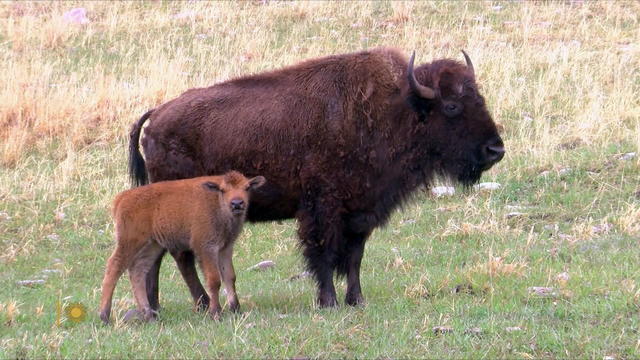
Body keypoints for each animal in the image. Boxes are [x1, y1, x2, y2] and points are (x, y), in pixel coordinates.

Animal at [99, 170, 264, 322]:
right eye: (223, 190)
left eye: (247, 187)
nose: (237, 203)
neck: (217, 202)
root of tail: (122, 198)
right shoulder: (206, 248)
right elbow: (214, 279)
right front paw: (216, 313)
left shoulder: (225, 248)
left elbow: (229, 277)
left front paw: (236, 310)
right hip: (130, 242)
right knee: (114, 267)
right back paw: (104, 316)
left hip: (152, 246)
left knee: (137, 272)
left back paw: (149, 315)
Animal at [126, 47, 504, 310]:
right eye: (452, 106)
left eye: (479, 98)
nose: (495, 149)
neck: (397, 108)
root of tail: (157, 115)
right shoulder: (323, 208)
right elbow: (324, 253)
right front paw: (329, 301)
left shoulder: (360, 211)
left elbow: (354, 257)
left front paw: (356, 300)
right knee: (180, 257)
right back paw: (198, 304)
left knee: (158, 256)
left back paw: (155, 308)